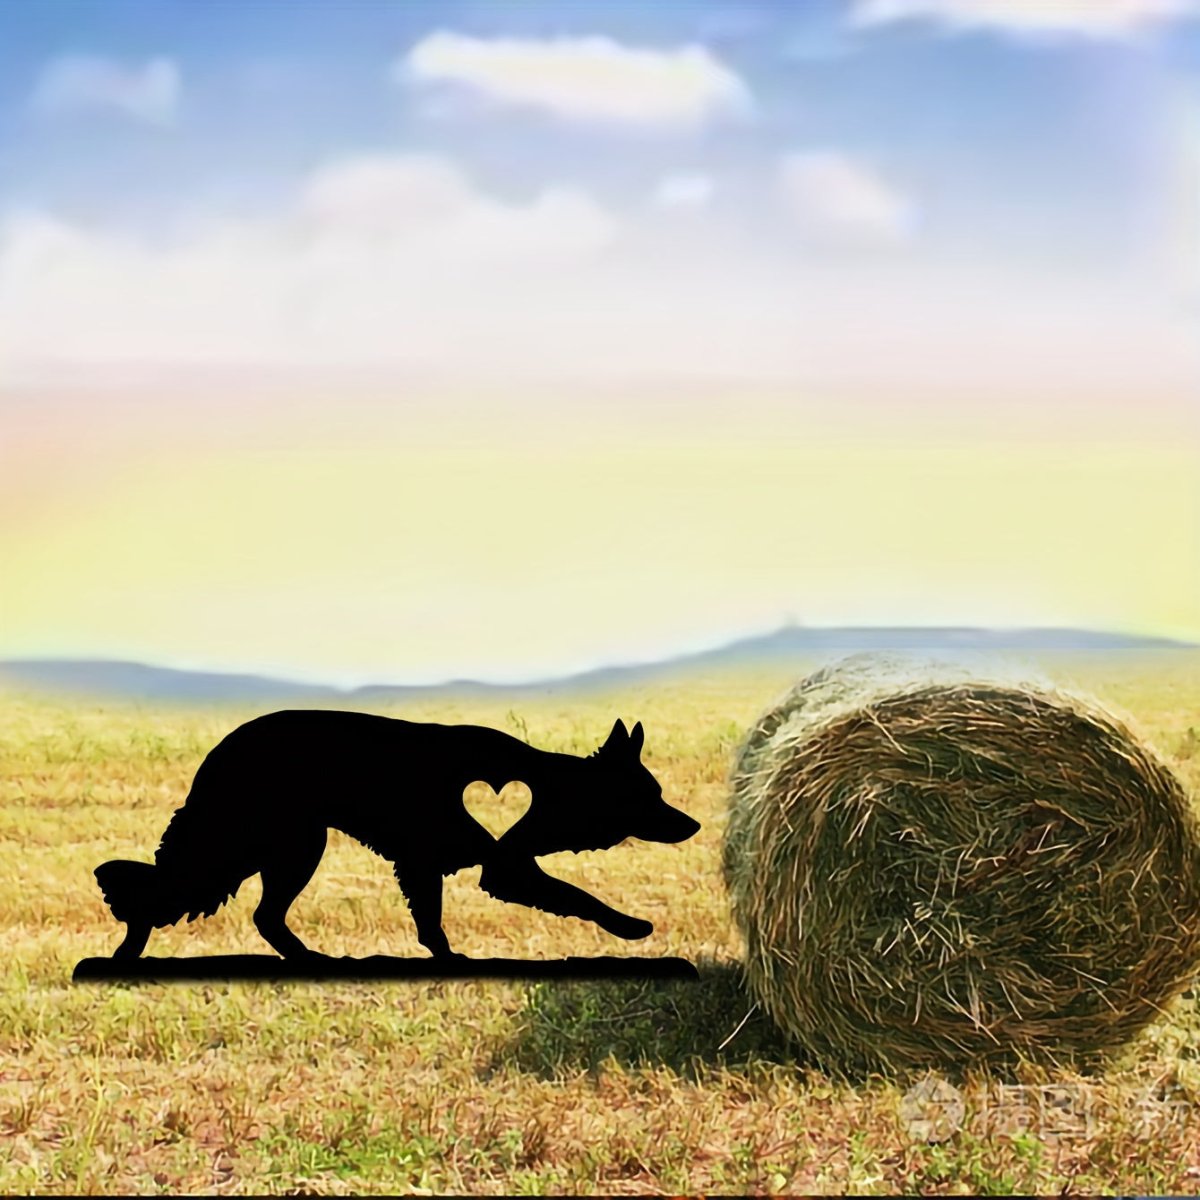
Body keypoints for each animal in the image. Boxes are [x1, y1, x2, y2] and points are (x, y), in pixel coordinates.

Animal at [93, 713, 700, 960]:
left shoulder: (437, 866)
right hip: (293, 845)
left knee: (255, 912)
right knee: (249, 909)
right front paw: (631, 926)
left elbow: (431, 921)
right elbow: (579, 895)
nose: (694, 825)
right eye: (650, 795)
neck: (548, 787)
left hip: (279, 846)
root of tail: (219, 753)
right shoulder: (497, 868)